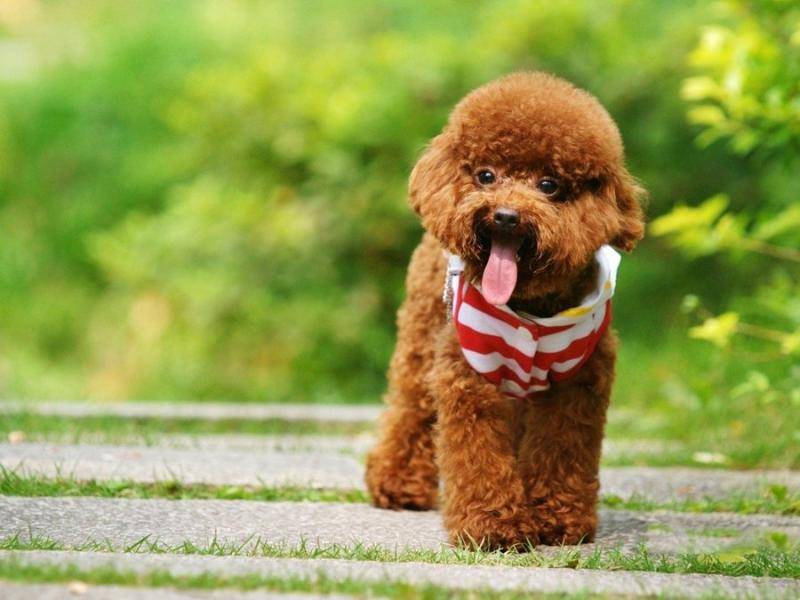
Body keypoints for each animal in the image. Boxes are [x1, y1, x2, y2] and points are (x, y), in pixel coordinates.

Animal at [366, 71, 648, 548]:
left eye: (549, 185)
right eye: (486, 175)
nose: (504, 216)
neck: (531, 311)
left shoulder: (578, 385)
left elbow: (562, 449)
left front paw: (556, 519)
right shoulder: (468, 378)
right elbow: (477, 454)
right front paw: (493, 525)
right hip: (421, 343)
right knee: (411, 409)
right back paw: (397, 484)